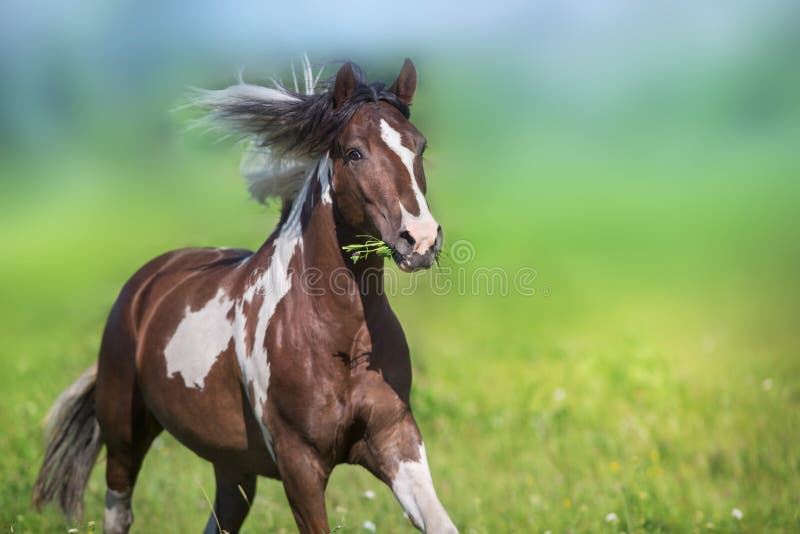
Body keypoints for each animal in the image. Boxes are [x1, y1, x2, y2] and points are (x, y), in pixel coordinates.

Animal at [32, 59, 456, 534]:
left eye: (419, 147)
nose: (420, 240)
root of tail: (146, 283)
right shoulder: (299, 463)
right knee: (118, 509)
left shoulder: (395, 439)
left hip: (232, 465)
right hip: (124, 432)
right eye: (354, 153)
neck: (340, 338)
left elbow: (440, 522)